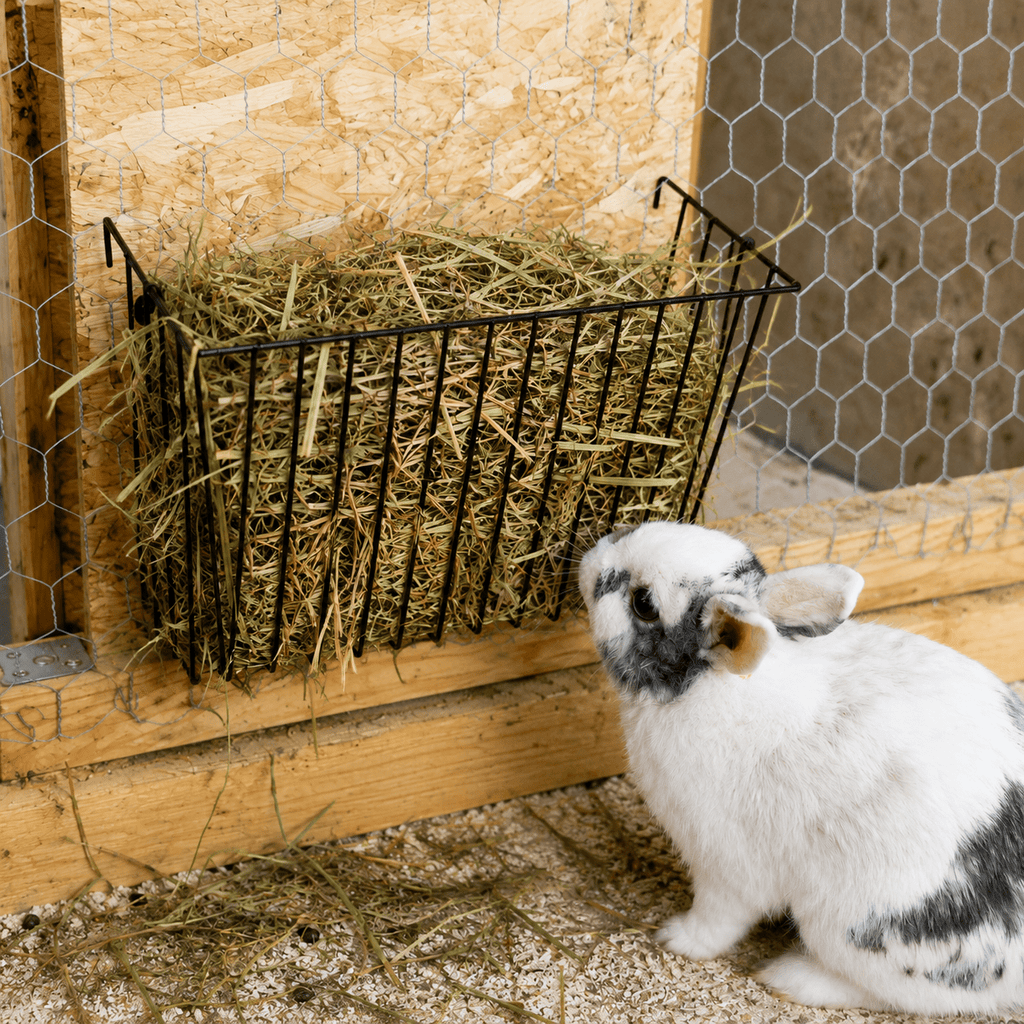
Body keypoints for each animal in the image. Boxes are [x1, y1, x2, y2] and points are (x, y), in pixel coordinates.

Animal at [578, 520, 1024, 1016]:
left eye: (644, 603)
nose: (597, 551)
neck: (712, 685)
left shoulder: (726, 862)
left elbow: (719, 916)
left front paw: (677, 938)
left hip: (851, 929)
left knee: (905, 995)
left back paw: (790, 978)